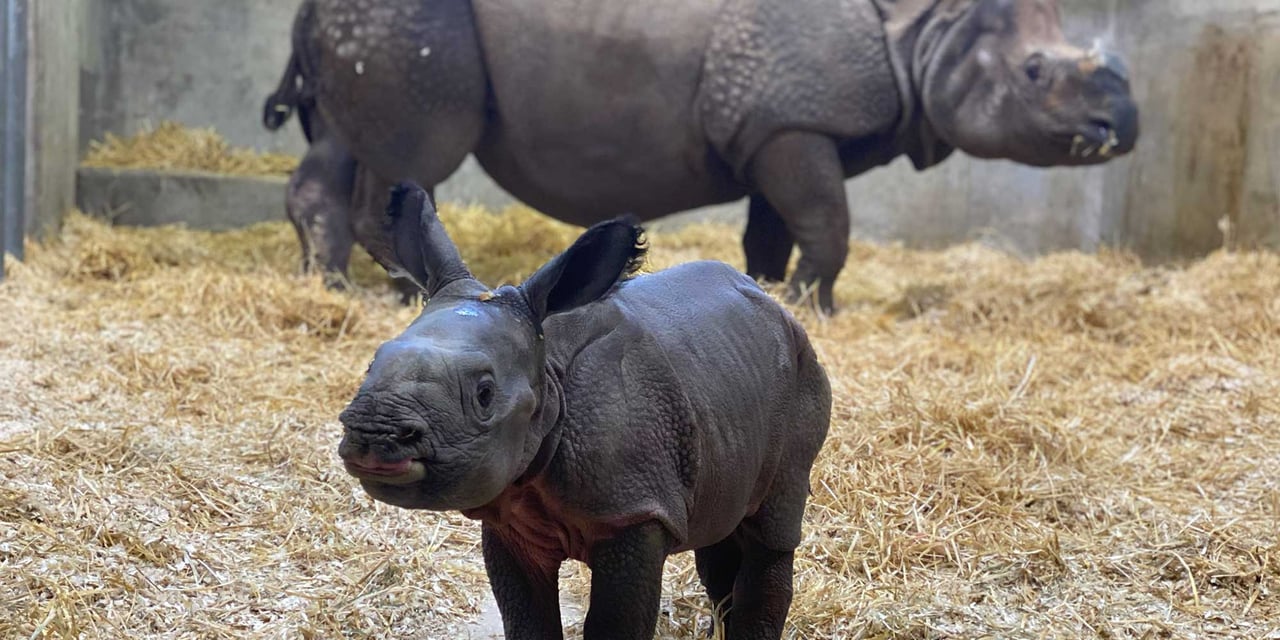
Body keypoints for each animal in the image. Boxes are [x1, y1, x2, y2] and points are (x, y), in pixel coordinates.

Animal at [266, 0, 1138, 311]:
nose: (1124, 126)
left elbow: (777, 226)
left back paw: (330, 287)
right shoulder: (793, 124)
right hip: (412, 24)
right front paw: (819, 306)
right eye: (1036, 74)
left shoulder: (776, 125)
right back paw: (405, 295)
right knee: (410, 155)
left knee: (338, 147)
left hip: (368, 25)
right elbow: (828, 222)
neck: (924, 27)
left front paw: (769, 294)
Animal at [337, 182, 832, 639]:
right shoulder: (511, 520)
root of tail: (778, 308)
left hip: (803, 378)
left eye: (484, 394)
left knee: (771, 530)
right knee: (720, 529)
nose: (374, 434)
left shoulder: (634, 509)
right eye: (370, 364)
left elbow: (614, 623)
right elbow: (527, 618)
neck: (548, 373)